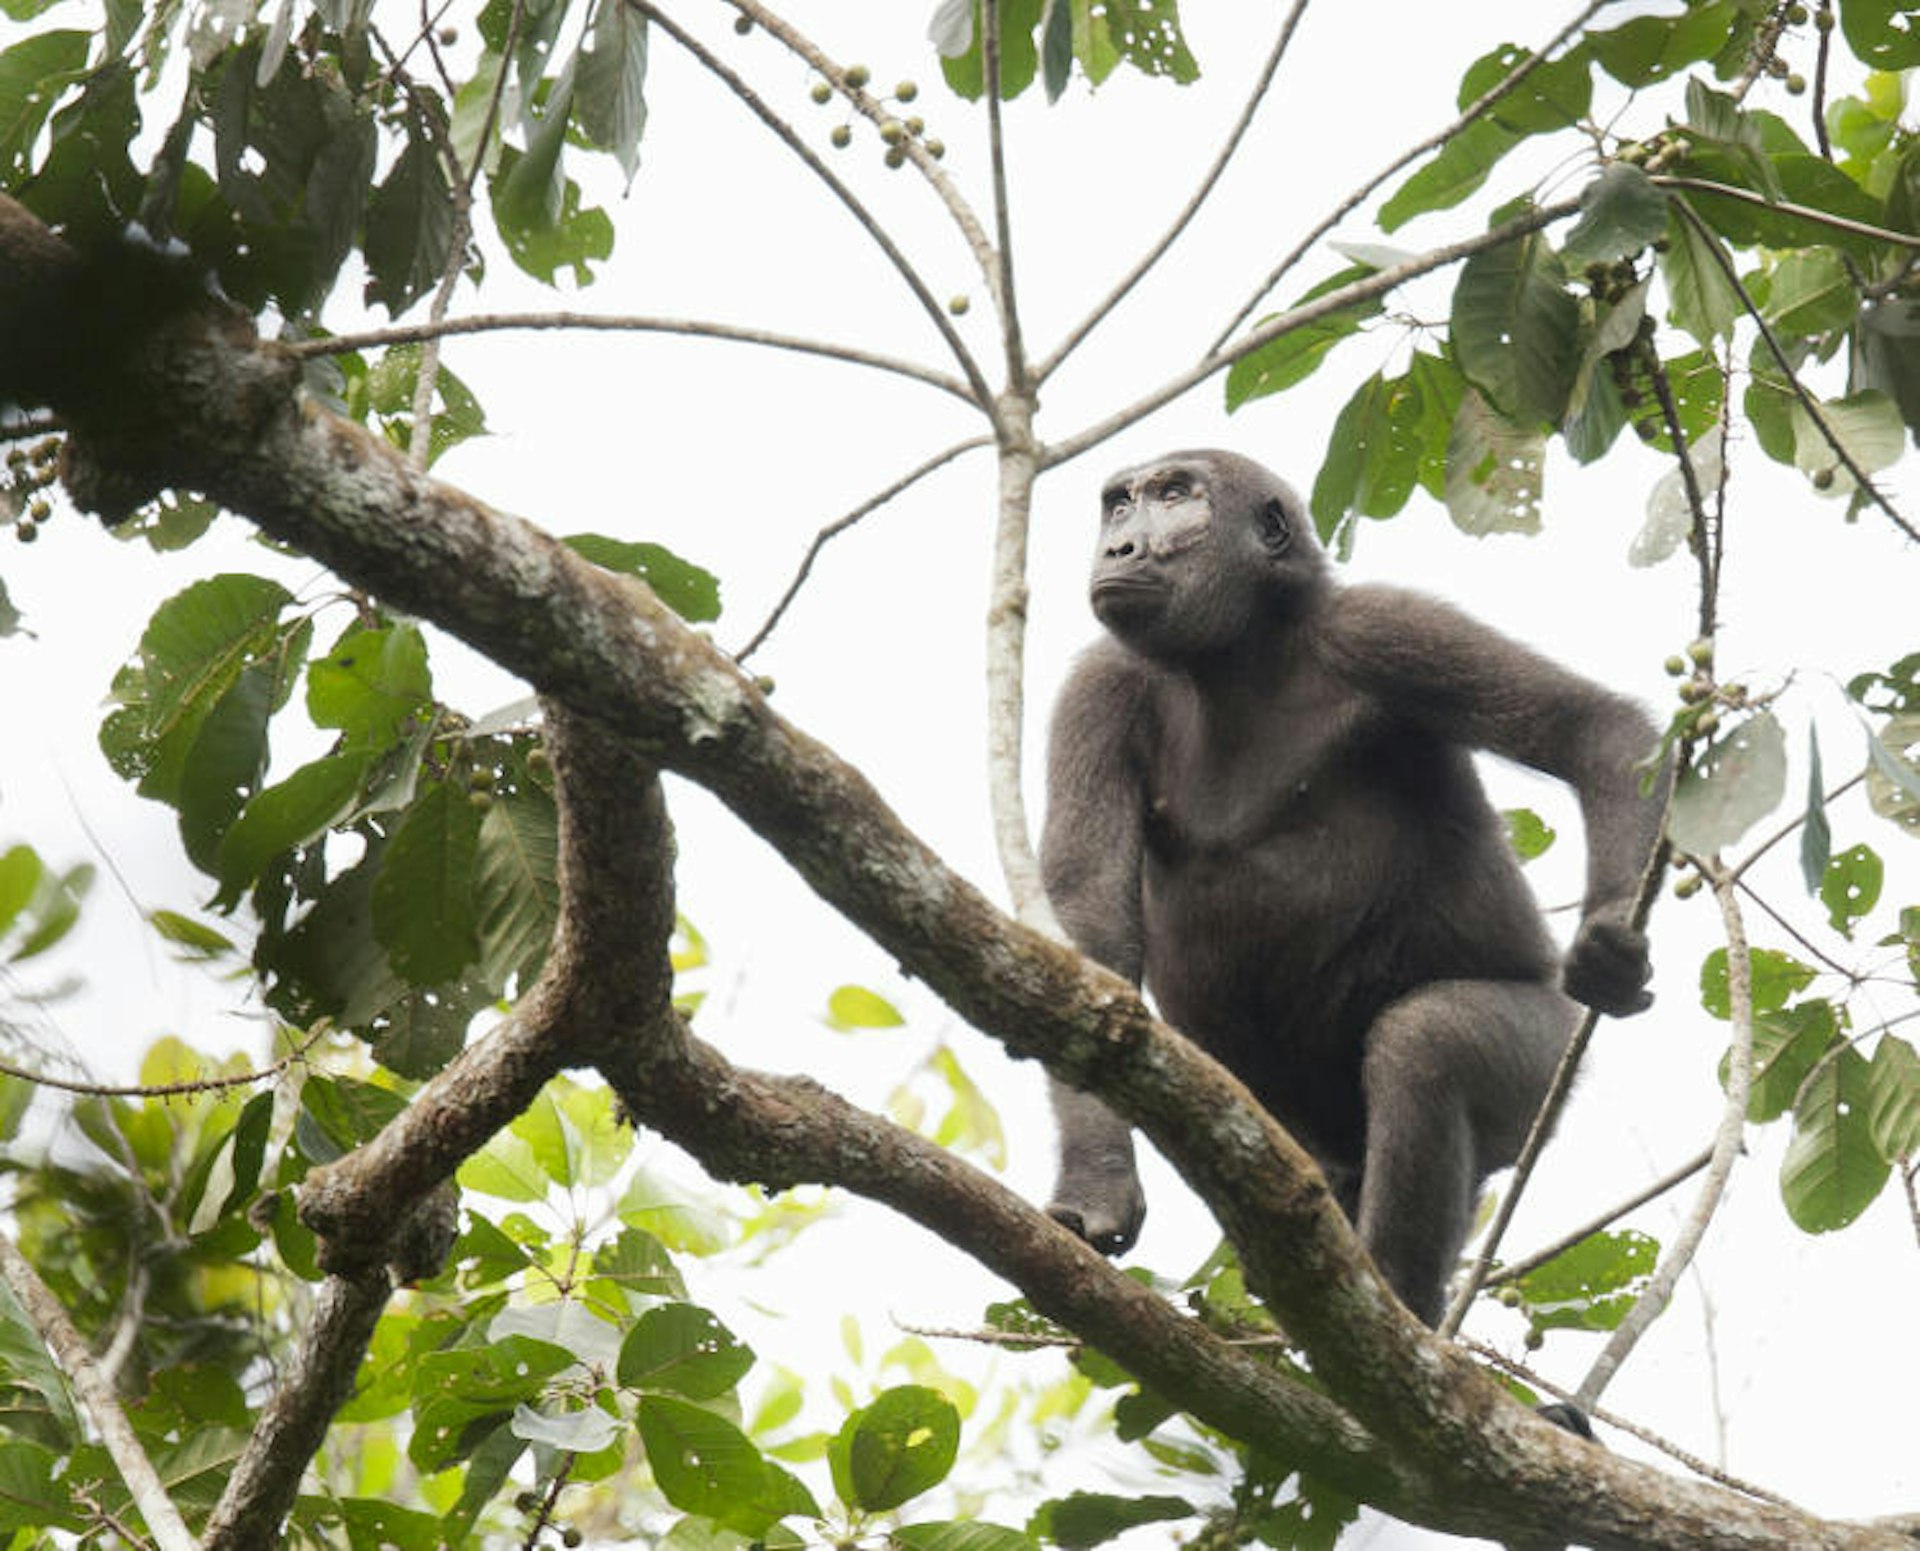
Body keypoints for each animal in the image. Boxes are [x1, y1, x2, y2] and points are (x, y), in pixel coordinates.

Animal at [1036, 445, 1666, 1320]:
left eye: (1175, 494)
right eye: (1119, 504)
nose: (1119, 545)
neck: (1239, 653)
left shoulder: (1381, 627)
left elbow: (1592, 730)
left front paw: (1609, 934)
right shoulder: (1100, 687)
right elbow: (1091, 930)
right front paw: (1097, 1176)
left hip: (1544, 1067)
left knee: (1429, 1043)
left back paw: (1395, 1306)